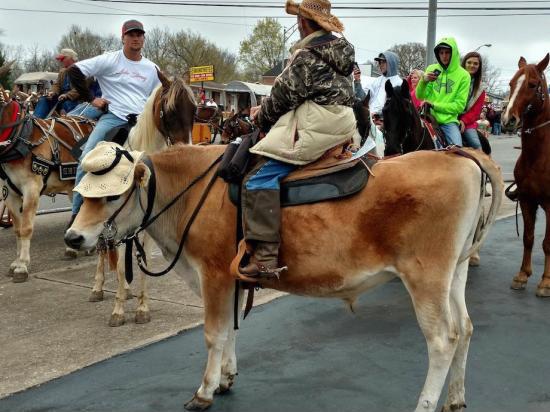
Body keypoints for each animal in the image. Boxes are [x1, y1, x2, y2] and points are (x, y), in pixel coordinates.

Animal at [64, 142, 504, 412]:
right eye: (82, 194)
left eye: (110, 196)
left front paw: (204, 390)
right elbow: (230, 331)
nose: (73, 237)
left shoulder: (214, 274)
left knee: (443, 340)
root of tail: (460, 156)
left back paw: (426, 404)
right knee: (465, 328)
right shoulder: (232, 280)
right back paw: (455, 398)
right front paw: (226, 377)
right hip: (454, 273)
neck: (193, 192)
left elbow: (213, 333)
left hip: (426, 277)